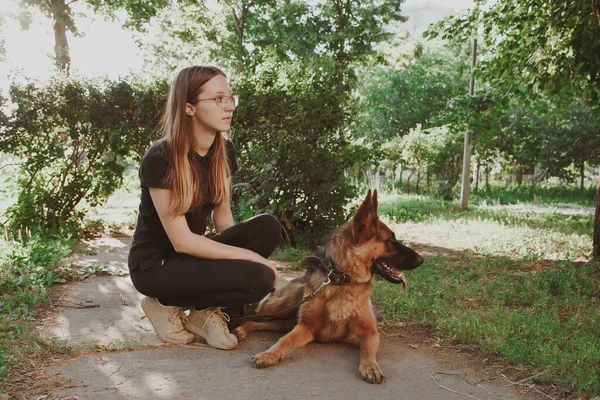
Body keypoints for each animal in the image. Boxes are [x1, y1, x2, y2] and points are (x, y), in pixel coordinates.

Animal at [232, 191, 424, 384]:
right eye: (390, 239)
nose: (421, 260)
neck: (341, 280)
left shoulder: (370, 332)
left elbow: (368, 350)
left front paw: (370, 366)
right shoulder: (306, 327)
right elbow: (284, 341)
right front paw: (269, 354)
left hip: (285, 321)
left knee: (259, 322)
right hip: (283, 305)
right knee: (256, 313)